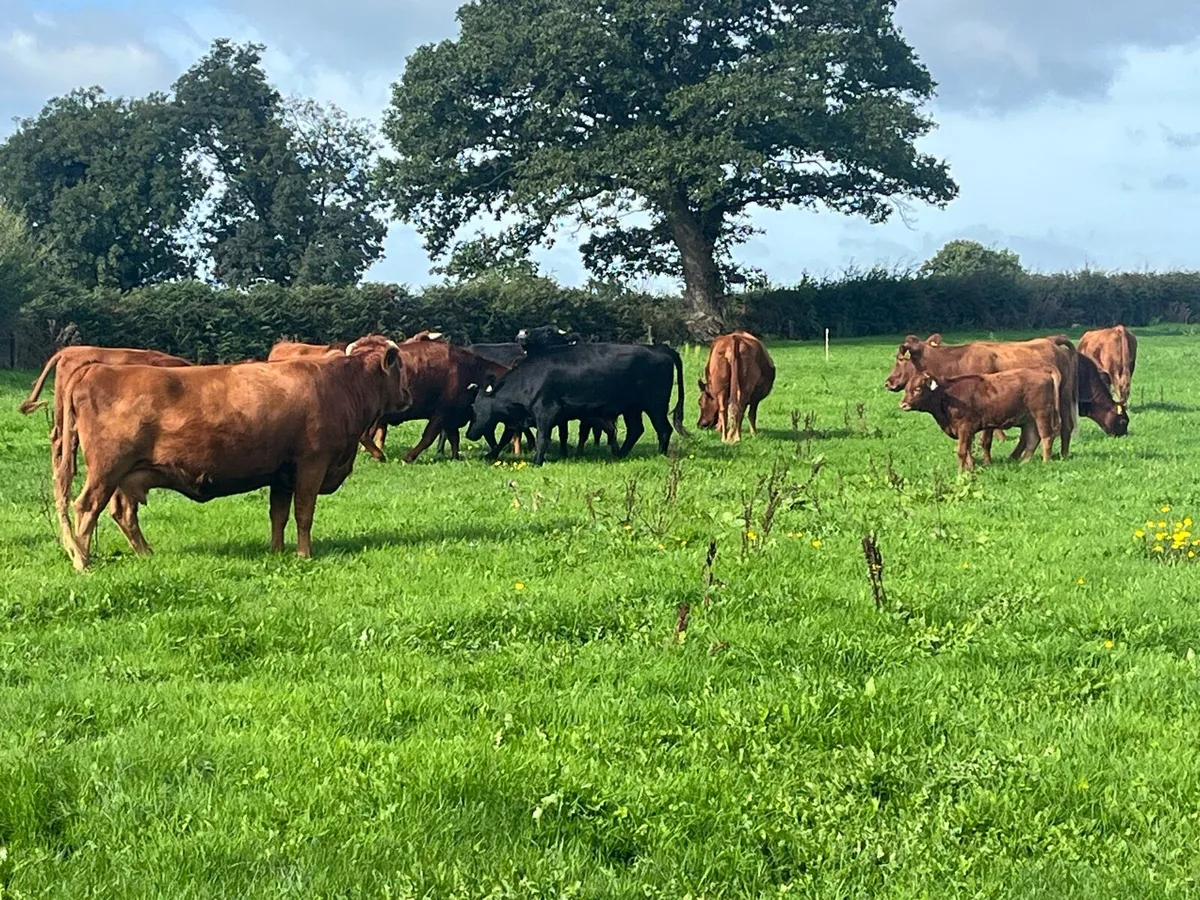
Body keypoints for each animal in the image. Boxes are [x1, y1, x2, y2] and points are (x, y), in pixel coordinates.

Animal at [53, 336, 411, 571]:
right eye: (400, 368)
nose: (408, 394)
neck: (340, 384)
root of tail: (94, 368)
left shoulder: (282, 474)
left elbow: (278, 515)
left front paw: (277, 551)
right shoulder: (312, 464)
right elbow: (303, 514)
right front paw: (303, 555)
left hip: (126, 476)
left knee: (122, 514)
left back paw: (143, 553)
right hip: (106, 470)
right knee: (86, 507)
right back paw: (82, 560)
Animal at [466, 342, 688, 466]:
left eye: (475, 410)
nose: (468, 434)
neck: (530, 379)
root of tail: (661, 348)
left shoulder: (545, 411)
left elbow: (542, 438)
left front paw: (537, 461)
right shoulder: (519, 417)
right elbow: (505, 437)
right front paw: (490, 455)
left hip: (655, 405)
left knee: (664, 429)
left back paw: (660, 454)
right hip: (632, 408)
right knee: (636, 430)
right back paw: (620, 455)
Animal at [900, 367, 1062, 471]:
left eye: (918, 388)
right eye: (907, 388)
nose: (903, 404)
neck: (948, 396)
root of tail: (1041, 372)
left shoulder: (964, 427)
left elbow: (962, 451)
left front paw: (960, 472)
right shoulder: (967, 431)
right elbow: (969, 450)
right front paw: (971, 468)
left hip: (1041, 414)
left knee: (1046, 437)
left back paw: (1045, 462)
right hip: (1029, 420)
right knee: (1033, 439)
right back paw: (1024, 462)